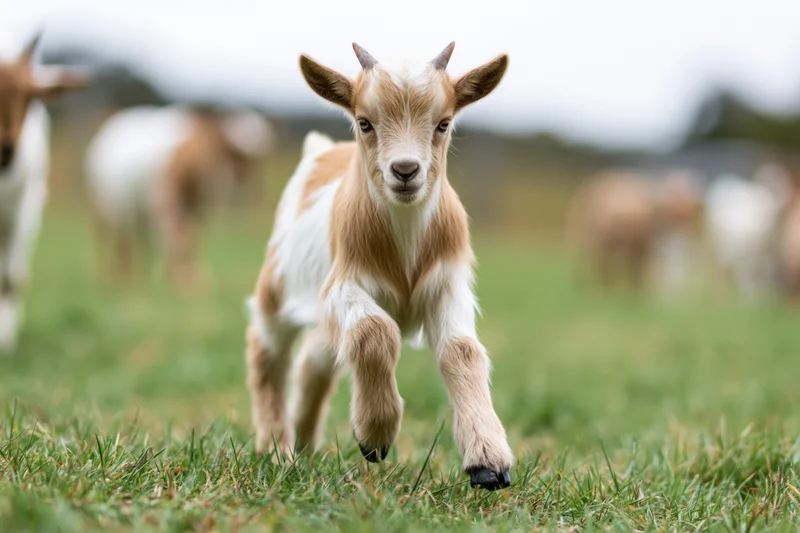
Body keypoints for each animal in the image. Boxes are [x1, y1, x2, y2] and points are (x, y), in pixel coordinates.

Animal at [85, 105, 273, 290]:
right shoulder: (164, 200)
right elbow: (179, 236)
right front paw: (183, 279)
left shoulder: (199, 207)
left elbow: (191, 236)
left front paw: (186, 275)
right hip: (108, 207)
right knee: (114, 238)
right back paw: (115, 275)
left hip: (135, 210)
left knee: (135, 239)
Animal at [245, 43, 513, 490]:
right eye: (365, 122)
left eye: (443, 123)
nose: (405, 171)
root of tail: (320, 150)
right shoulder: (342, 284)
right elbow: (375, 333)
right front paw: (374, 436)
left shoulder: (448, 287)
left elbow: (461, 351)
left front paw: (489, 461)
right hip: (277, 288)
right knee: (267, 350)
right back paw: (276, 447)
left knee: (314, 358)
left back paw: (303, 442)